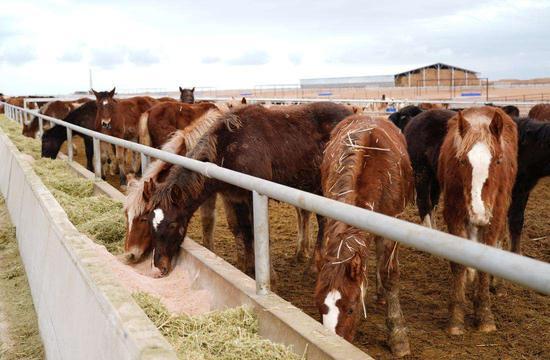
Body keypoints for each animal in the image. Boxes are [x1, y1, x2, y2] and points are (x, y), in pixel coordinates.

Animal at [148, 102, 354, 278]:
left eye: (172, 224)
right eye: (152, 224)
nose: (159, 267)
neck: (228, 149)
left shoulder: (254, 196)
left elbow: (258, 234)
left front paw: (270, 278)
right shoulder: (236, 198)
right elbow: (244, 231)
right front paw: (248, 269)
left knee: (324, 222)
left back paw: (313, 267)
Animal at [440, 106, 516, 334]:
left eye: (498, 160)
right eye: (462, 161)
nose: (478, 212)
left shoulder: (495, 216)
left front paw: (484, 315)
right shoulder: (454, 215)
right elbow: (459, 262)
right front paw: (455, 318)